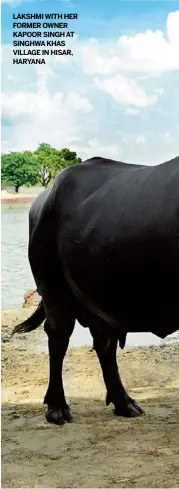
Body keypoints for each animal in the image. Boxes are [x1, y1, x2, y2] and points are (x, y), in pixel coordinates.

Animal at [13, 155, 179, 424]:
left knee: (104, 342)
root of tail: (45, 198)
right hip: (54, 290)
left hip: (97, 298)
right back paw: (57, 407)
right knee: (58, 338)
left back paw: (124, 403)